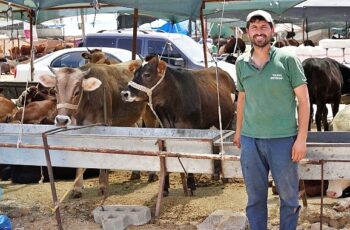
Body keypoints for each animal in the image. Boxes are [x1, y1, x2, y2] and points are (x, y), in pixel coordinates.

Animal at [38, 61, 146, 198]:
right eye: (55, 91)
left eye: (77, 92)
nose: (61, 120)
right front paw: (77, 188)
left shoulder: (104, 126)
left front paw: (103, 186)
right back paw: (135, 173)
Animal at [121, 55, 237, 194]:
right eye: (134, 73)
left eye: (147, 74)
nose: (124, 93)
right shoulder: (165, 130)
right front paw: (165, 187)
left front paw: (191, 184)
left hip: (228, 122)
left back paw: (222, 176)